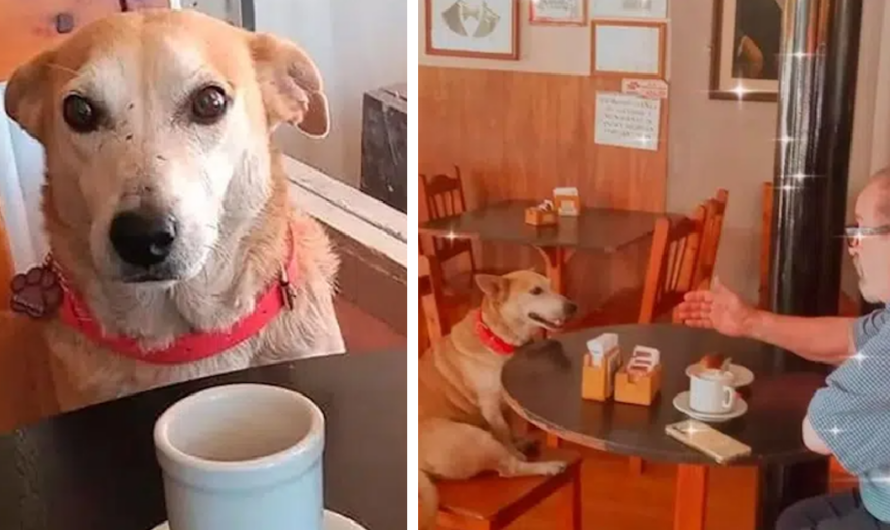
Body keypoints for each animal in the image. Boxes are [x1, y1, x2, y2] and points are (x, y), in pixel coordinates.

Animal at [416, 270, 576, 524]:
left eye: (551, 286)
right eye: (536, 291)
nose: (573, 307)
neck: (498, 338)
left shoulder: (510, 402)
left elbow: (510, 428)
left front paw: (518, 441)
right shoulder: (491, 407)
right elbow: (504, 433)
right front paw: (515, 448)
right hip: (475, 438)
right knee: (509, 469)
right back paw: (548, 466)